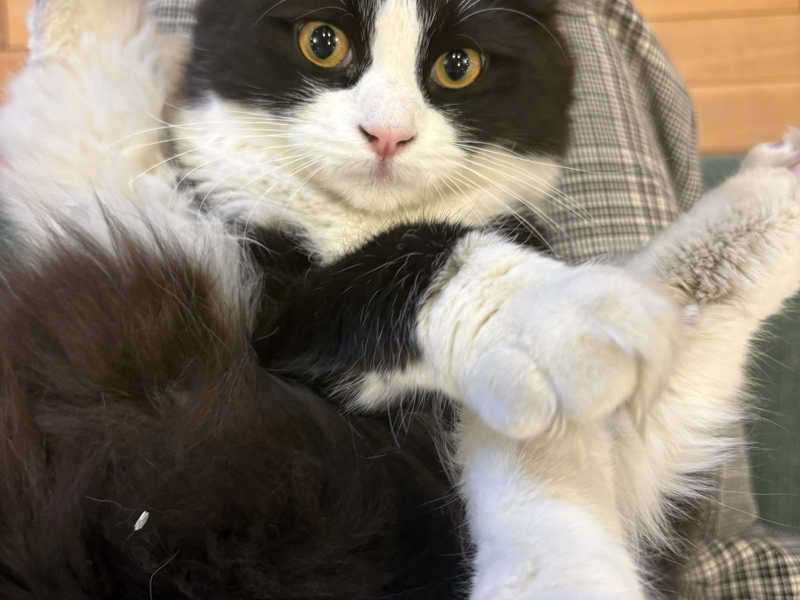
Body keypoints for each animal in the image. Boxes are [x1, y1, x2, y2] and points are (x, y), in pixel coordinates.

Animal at [1, 0, 799, 599]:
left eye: (458, 65)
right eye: (322, 43)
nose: (386, 133)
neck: (351, 227)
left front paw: (772, 198)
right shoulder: (258, 318)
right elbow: (85, 100)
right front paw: (561, 316)